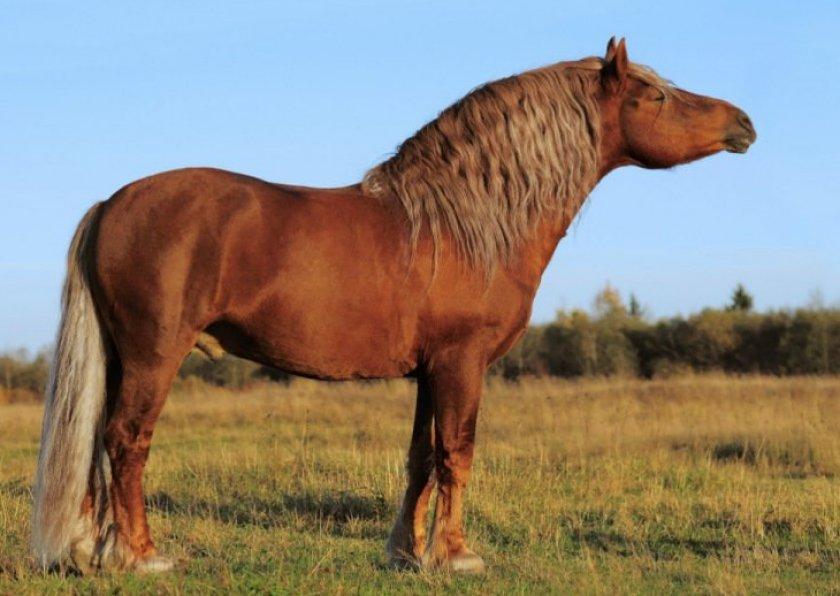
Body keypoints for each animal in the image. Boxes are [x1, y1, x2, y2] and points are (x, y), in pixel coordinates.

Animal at [32, 38, 755, 574]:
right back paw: (141, 557)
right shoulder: (462, 364)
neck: (466, 223)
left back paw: (95, 552)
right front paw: (457, 556)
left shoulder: (430, 371)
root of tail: (112, 203)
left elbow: (421, 459)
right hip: (154, 355)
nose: (744, 122)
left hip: (122, 359)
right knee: (126, 441)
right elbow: (458, 452)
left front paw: (408, 553)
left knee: (99, 445)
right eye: (655, 94)